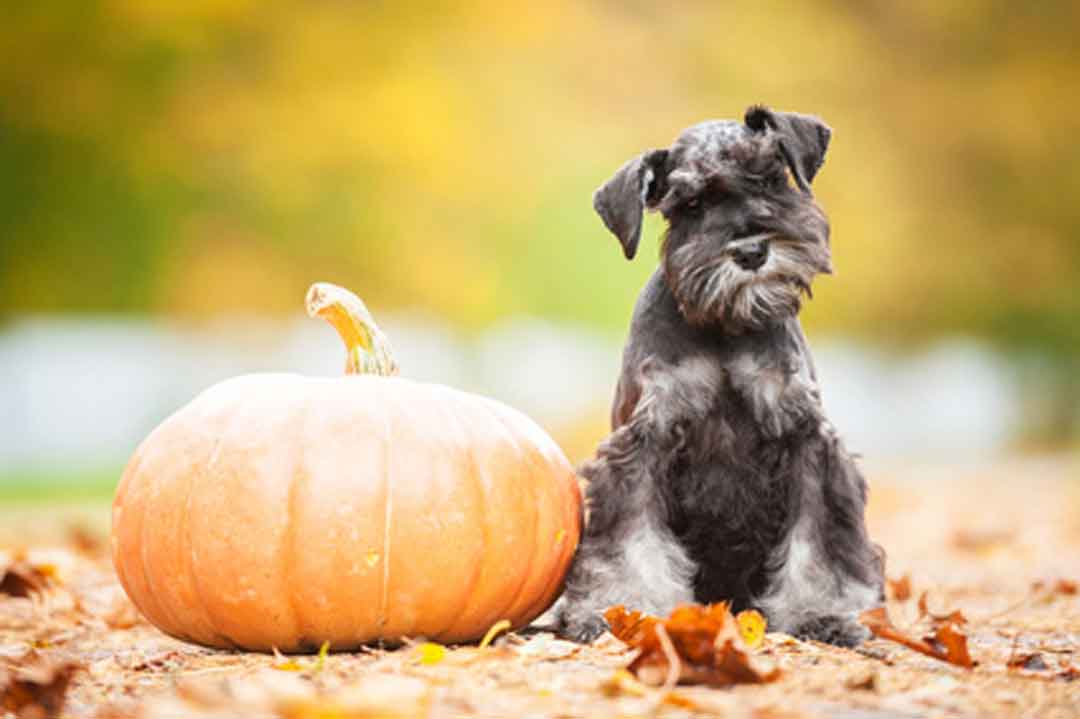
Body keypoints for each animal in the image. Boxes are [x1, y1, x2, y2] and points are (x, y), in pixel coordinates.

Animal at [548, 102, 885, 643]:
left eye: (769, 178)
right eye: (689, 205)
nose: (750, 251)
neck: (724, 325)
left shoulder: (808, 440)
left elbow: (819, 542)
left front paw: (820, 614)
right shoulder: (643, 442)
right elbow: (630, 537)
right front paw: (621, 610)